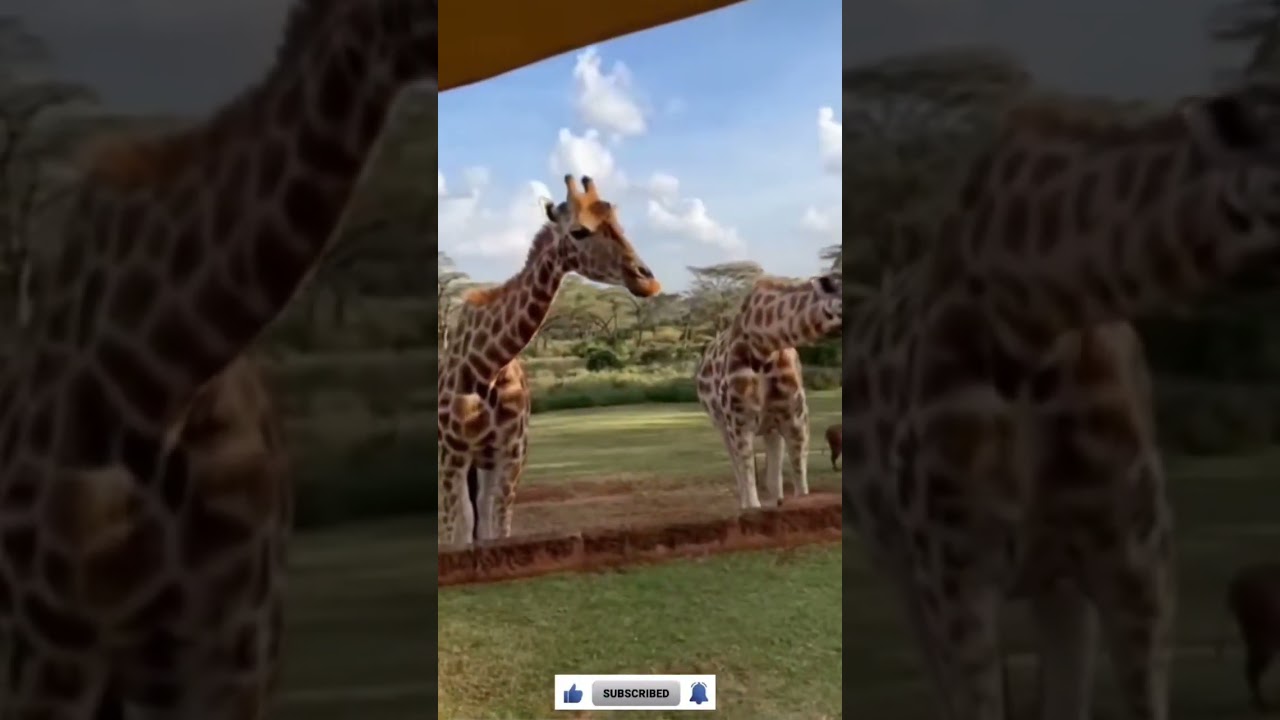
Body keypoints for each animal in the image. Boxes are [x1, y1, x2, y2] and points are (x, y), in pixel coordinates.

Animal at [437, 175, 661, 547]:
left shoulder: (511, 455)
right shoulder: (452, 455)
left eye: (618, 223)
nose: (648, 281)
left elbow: (496, 529)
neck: (488, 365)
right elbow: (460, 534)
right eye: (579, 231)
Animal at [695, 273, 841, 510]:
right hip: (722, 425)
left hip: (770, 426)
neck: (765, 345)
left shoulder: (796, 419)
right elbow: (751, 494)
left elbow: (801, 488)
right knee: (740, 473)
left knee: (772, 477)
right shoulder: (739, 420)